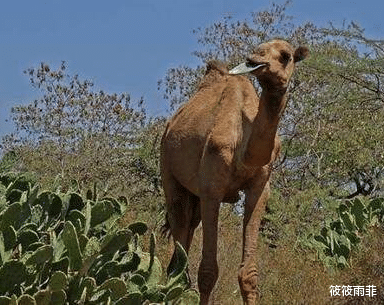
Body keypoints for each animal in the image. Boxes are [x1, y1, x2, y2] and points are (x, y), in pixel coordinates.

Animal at [160, 39, 308, 302]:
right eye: (258, 48)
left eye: (286, 56)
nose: (253, 60)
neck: (244, 147)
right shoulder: (212, 191)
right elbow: (208, 271)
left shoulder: (259, 190)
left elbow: (249, 274)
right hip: (168, 169)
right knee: (178, 223)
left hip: (193, 195)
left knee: (187, 231)